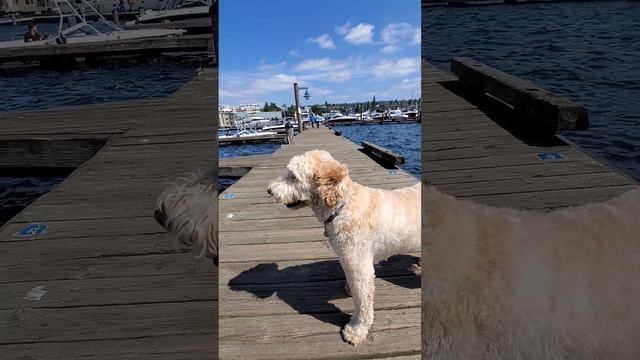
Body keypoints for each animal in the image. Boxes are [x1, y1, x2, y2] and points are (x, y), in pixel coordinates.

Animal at [266, 150, 420, 346]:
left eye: (293, 176)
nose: (269, 190)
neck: (342, 206)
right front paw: (348, 288)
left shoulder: (359, 265)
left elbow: (363, 302)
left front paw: (356, 330)